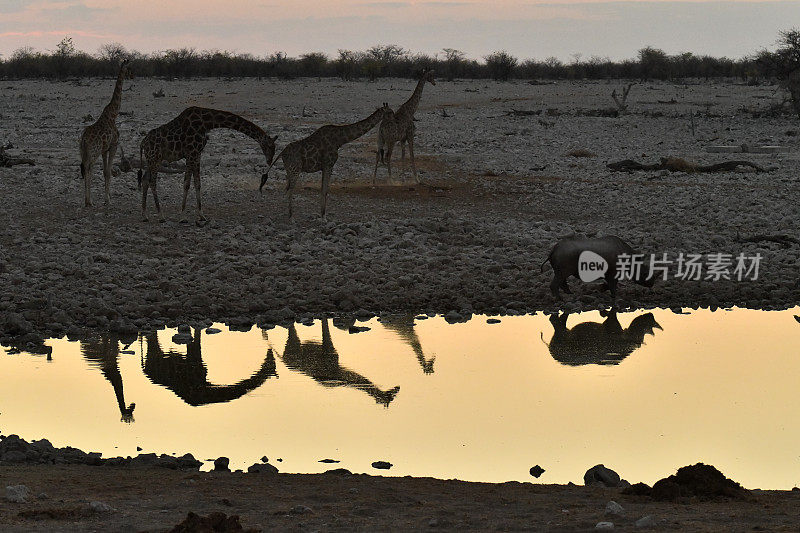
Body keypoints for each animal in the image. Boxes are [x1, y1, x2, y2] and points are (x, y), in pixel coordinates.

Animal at [78, 59, 131, 207]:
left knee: (85, 167)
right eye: (130, 68)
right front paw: (108, 199)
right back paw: (89, 201)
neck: (113, 115)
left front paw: (107, 197)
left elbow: (105, 172)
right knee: (88, 167)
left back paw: (87, 200)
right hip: (93, 152)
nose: (133, 75)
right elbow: (107, 171)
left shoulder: (104, 150)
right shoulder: (113, 146)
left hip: (83, 151)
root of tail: (84, 140)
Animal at [136, 106, 276, 222]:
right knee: (152, 181)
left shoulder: (197, 154)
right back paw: (161, 215)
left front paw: (201, 215)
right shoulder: (191, 153)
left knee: (145, 179)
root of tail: (142, 143)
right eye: (269, 146)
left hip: (153, 160)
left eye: (274, 148)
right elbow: (187, 184)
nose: (269, 160)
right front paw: (183, 216)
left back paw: (144, 215)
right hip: (154, 158)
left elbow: (197, 184)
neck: (207, 123)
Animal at [260, 103, 392, 219]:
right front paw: (324, 216)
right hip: (295, 169)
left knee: (286, 189)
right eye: (390, 112)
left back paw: (287, 214)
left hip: (289, 170)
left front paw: (322, 214)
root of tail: (282, 153)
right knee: (290, 190)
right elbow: (325, 190)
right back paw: (291, 216)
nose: (394, 119)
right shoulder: (329, 164)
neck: (340, 140)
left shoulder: (324, 166)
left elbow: (323, 189)